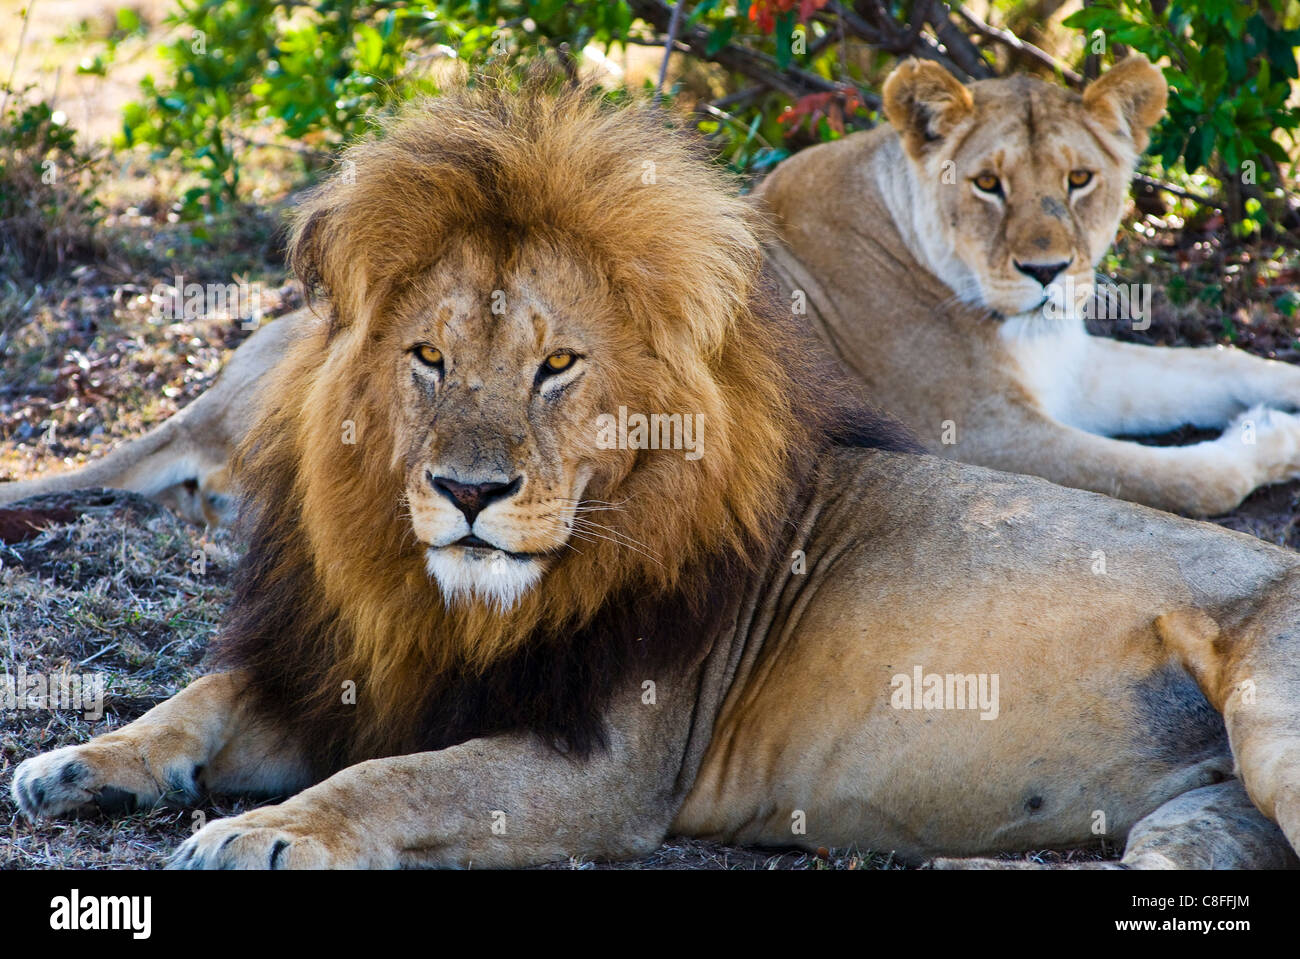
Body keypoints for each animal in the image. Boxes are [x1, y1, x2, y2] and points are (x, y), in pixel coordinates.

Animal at [759, 55, 1300, 517]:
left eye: (1079, 179)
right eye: (987, 183)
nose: (1046, 270)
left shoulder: (1068, 366)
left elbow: (1217, 362)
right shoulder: (973, 436)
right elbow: (1183, 479)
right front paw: (1274, 436)